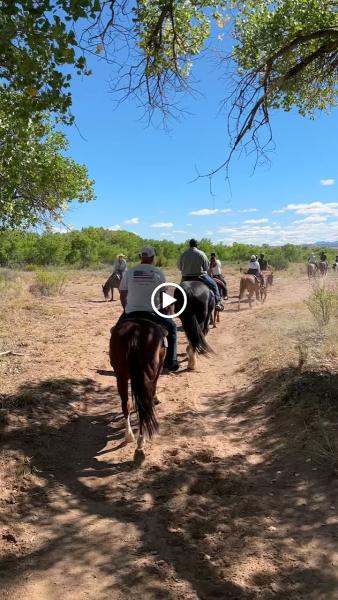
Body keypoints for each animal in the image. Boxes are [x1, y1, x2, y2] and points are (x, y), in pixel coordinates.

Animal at [109, 318, 166, 464]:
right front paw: (156, 399)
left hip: (121, 376)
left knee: (126, 404)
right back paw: (140, 445)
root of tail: (135, 331)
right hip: (147, 374)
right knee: (143, 408)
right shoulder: (158, 369)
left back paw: (129, 436)